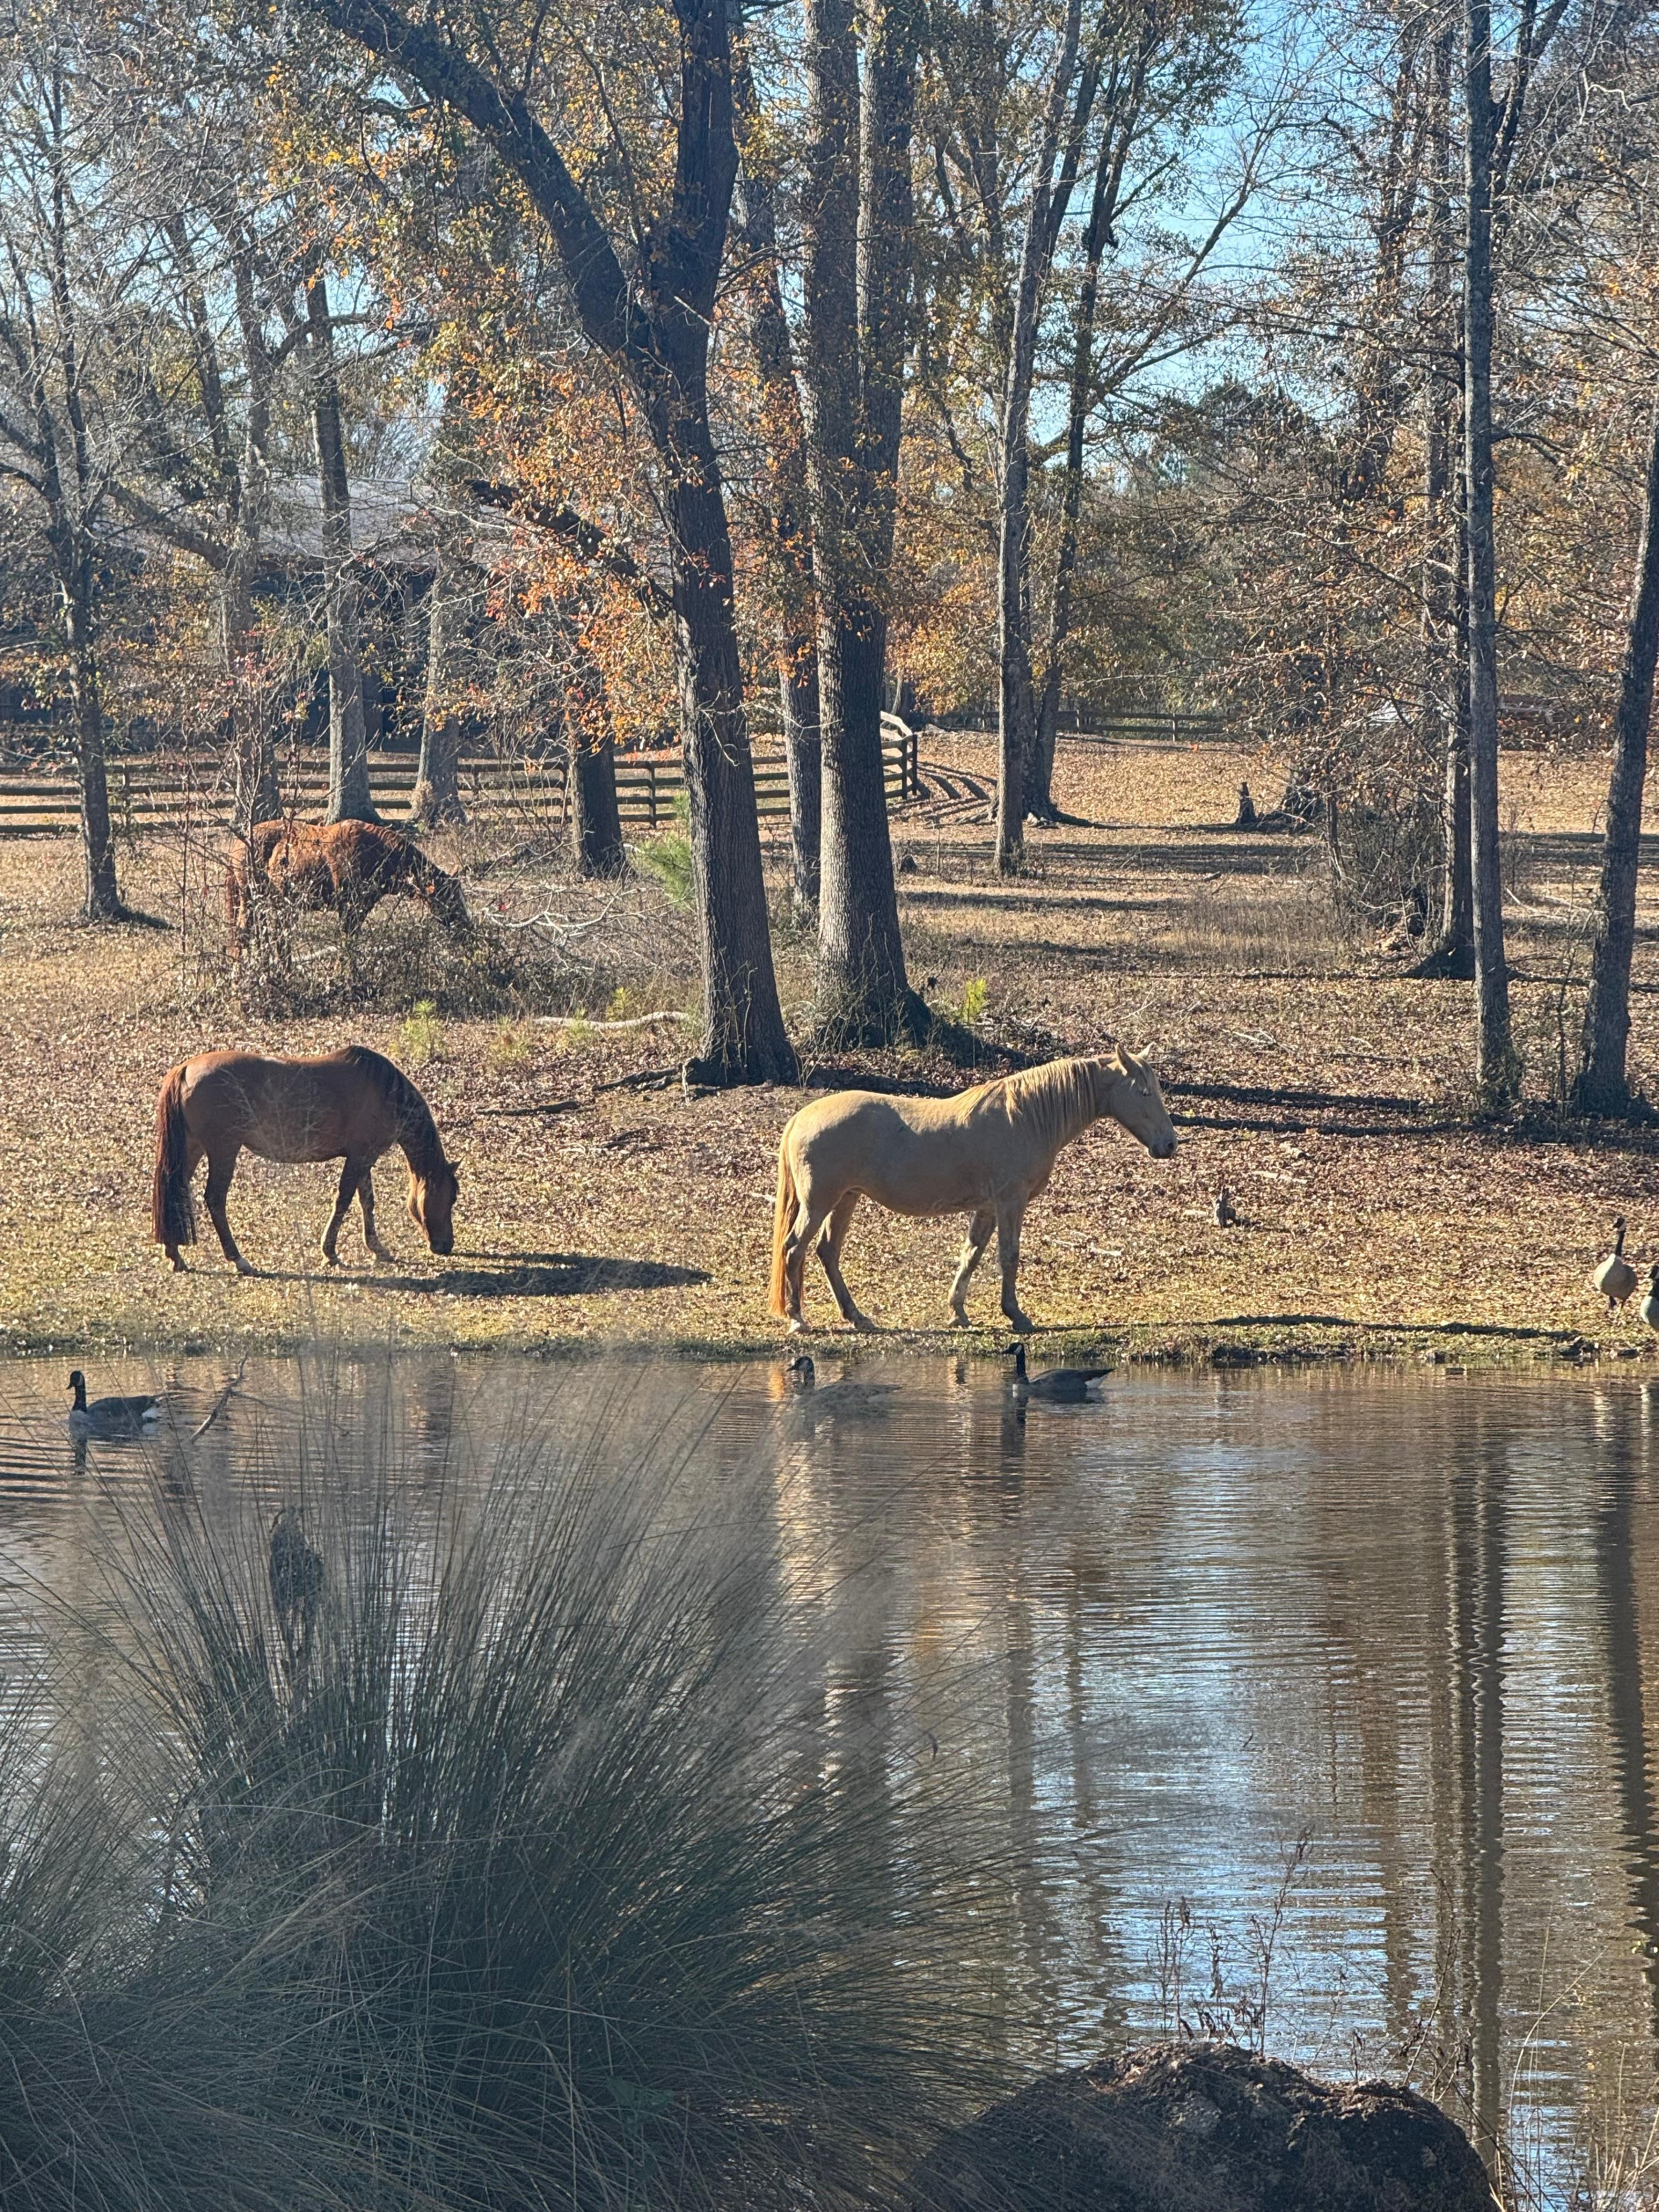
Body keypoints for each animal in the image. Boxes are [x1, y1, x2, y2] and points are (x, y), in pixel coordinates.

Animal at [151, 1045, 460, 1275]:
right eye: (451, 1196)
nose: (446, 1245)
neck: (387, 1093)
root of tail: (185, 1069)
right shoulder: (360, 1159)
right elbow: (344, 1200)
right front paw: (330, 1252)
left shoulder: (363, 1158)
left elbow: (366, 1201)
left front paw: (377, 1248)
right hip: (224, 1150)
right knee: (215, 1199)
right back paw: (238, 1259)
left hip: (193, 1149)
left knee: (177, 1192)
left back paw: (175, 1254)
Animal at [227, 819, 471, 958]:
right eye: (450, 900)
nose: (468, 931)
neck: (377, 853)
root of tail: (238, 845)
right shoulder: (350, 908)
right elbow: (348, 942)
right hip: (250, 901)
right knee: (243, 938)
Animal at [768, 1046, 1177, 1334]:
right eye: (1144, 1092)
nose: (1169, 1144)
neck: (1025, 1116)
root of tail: (800, 1117)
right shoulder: (1011, 1202)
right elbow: (1009, 1256)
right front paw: (1016, 1315)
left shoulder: (987, 1207)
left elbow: (972, 1254)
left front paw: (958, 1311)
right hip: (820, 1202)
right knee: (795, 1249)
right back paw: (798, 1320)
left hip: (845, 1199)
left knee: (827, 1252)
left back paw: (857, 1316)